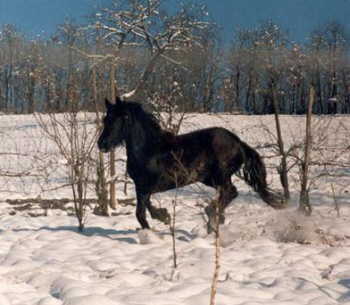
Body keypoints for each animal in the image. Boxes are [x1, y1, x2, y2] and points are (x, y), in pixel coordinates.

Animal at [97, 97, 286, 230]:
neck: (149, 150)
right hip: (210, 179)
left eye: (121, 119)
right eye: (105, 119)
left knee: (231, 192)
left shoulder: (154, 185)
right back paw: (216, 218)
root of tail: (238, 142)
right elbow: (145, 209)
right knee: (228, 193)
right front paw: (164, 217)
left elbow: (141, 213)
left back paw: (211, 216)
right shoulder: (141, 187)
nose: (102, 144)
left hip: (220, 175)